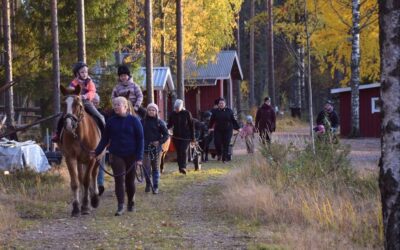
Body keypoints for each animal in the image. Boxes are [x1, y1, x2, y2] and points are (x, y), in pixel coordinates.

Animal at [58, 85, 101, 216]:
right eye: (63, 104)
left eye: (78, 105)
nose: (68, 125)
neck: (80, 135)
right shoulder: (70, 158)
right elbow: (75, 182)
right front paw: (76, 207)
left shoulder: (92, 158)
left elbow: (87, 180)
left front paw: (86, 206)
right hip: (80, 160)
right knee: (81, 178)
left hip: (97, 158)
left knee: (94, 174)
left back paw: (94, 198)